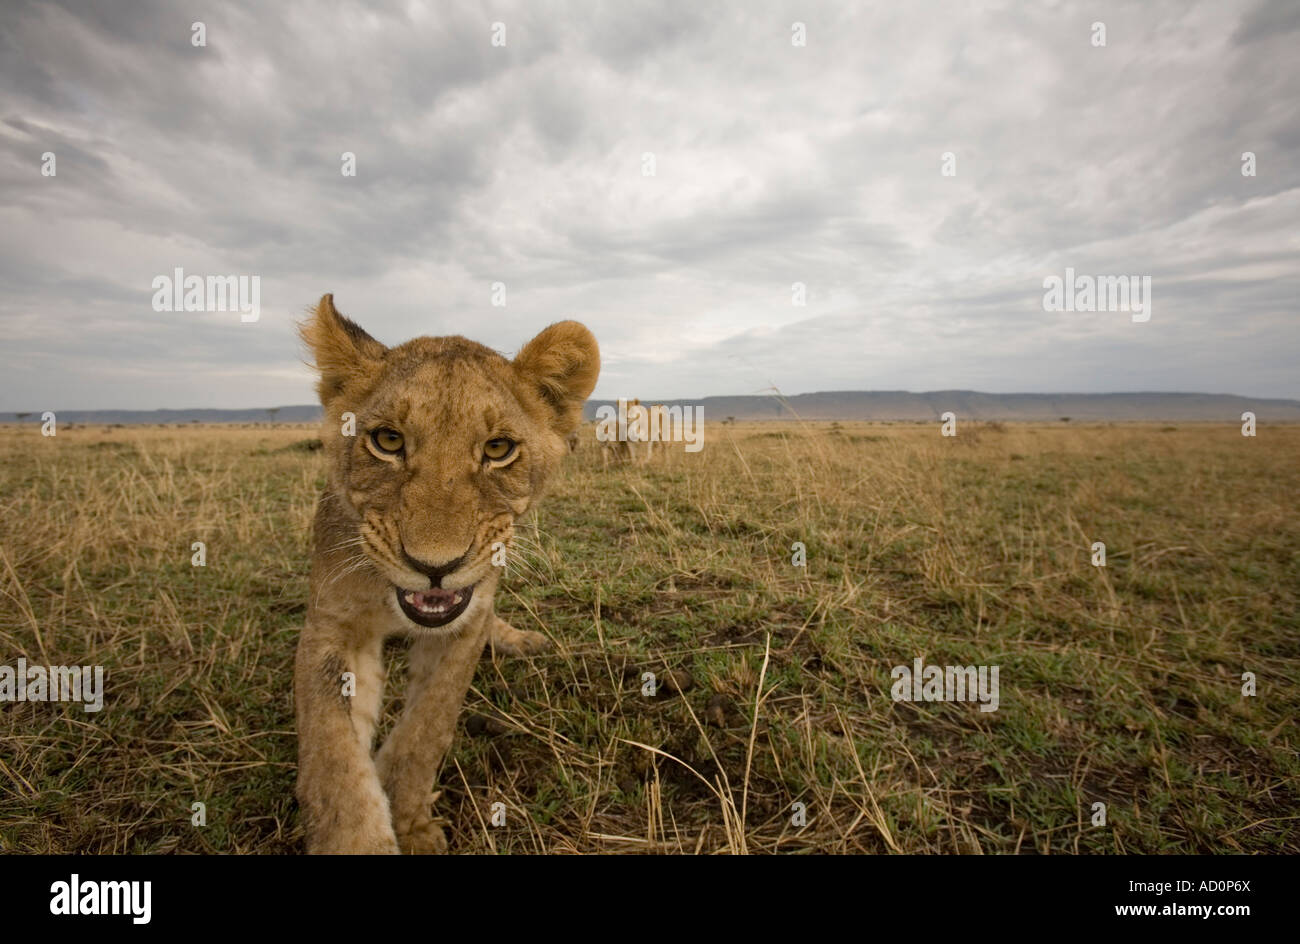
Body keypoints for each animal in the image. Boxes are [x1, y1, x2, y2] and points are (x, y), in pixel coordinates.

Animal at [294, 294, 599, 854]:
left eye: (499, 449)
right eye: (388, 440)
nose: (435, 567)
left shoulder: (463, 625)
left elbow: (427, 727)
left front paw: (409, 819)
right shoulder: (331, 623)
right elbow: (331, 753)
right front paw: (358, 838)